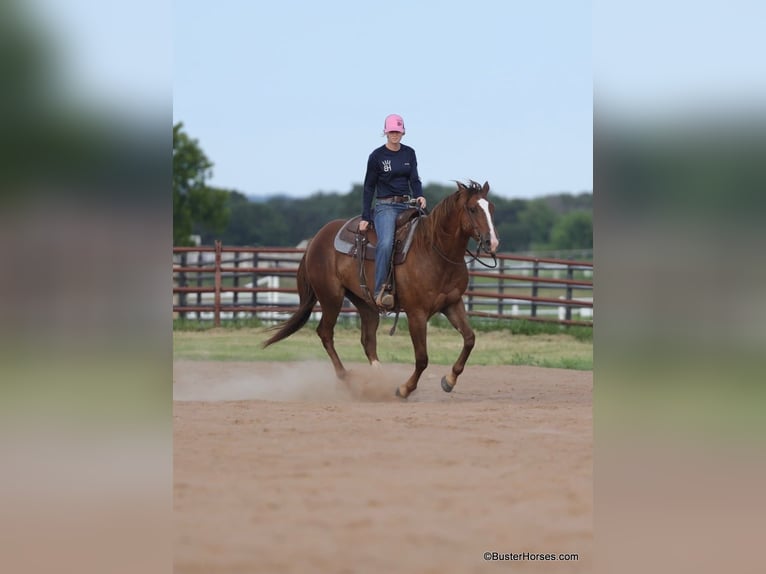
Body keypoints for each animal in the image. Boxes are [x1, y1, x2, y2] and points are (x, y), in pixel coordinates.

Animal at [262, 180, 500, 399]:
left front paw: (448, 381)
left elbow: (469, 339)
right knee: (325, 333)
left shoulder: (452, 304)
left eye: (491, 208)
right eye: (472, 209)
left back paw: (377, 379)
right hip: (331, 298)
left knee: (367, 340)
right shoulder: (416, 314)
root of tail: (315, 240)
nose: (493, 242)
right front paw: (404, 389)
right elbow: (422, 358)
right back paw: (348, 378)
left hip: (365, 303)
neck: (434, 251)